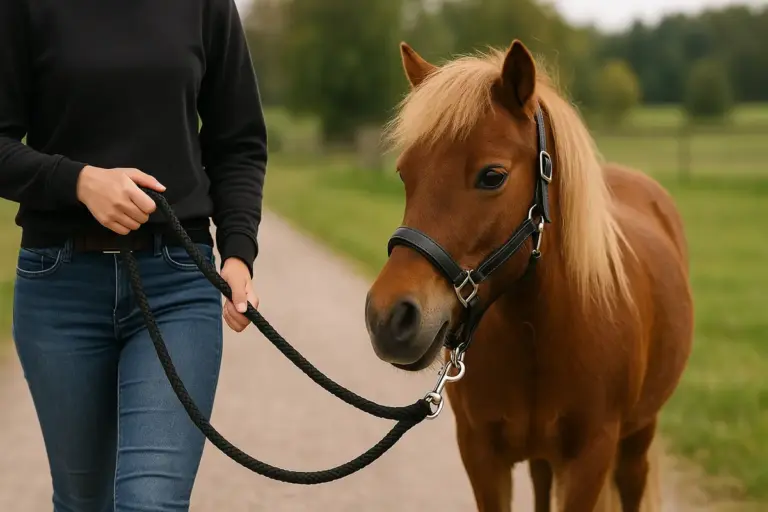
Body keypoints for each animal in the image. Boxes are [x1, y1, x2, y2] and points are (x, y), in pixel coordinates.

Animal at [364, 39, 693, 512]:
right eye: (405, 174)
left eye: (492, 176)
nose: (389, 318)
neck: (536, 332)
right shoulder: (481, 455)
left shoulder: (590, 459)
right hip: (543, 458)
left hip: (637, 439)